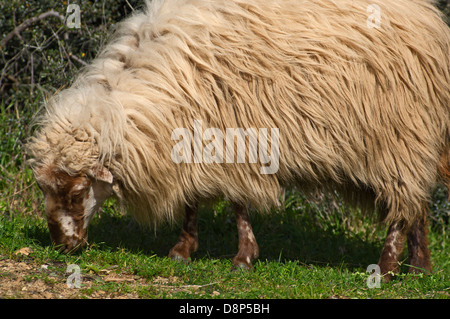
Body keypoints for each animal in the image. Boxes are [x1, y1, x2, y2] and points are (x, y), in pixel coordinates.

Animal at [26, 0, 448, 282]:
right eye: (44, 188)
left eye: (78, 191)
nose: (64, 247)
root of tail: (430, 20)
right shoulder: (196, 140)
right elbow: (193, 201)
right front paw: (183, 250)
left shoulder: (234, 137)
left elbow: (237, 204)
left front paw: (243, 257)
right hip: (409, 144)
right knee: (417, 203)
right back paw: (420, 267)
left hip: (399, 140)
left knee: (403, 205)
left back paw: (388, 267)